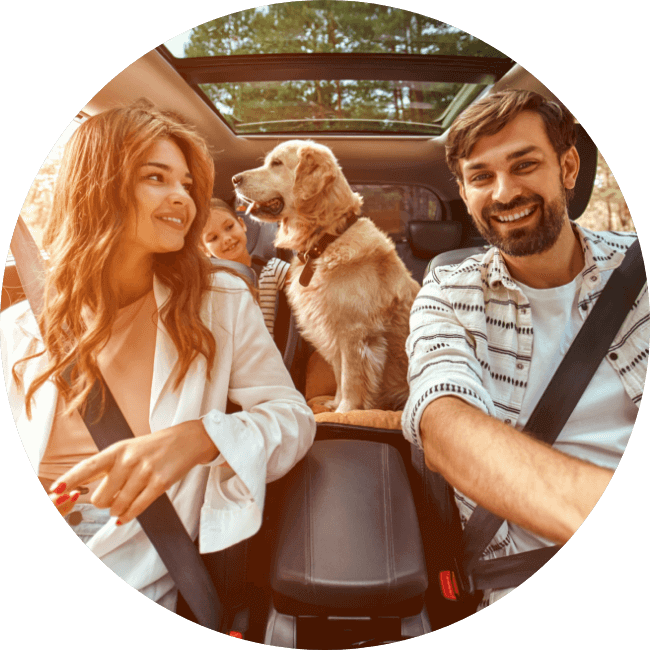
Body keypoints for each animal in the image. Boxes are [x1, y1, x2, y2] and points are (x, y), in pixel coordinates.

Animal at [233, 140, 420, 410]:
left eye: (276, 163)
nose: (234, 179)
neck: (325, 241)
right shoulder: (331, 328)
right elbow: (339, 374)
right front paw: (335, 403)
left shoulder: (353, 332)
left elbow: (351, 377)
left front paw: (346, 410)